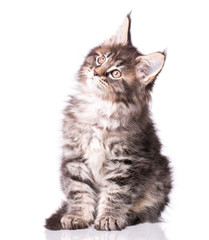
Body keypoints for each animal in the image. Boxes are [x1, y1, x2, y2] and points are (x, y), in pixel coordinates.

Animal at [45, 14, 171, 231]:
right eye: (101, 58)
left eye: (115, 74)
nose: (96, 71)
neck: (99, 107)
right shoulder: (76, 156)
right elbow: (79, 189)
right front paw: (78, 216)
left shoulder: (125, 162)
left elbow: (116, 194)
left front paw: (109, 218)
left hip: (161, 178)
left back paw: (131, 217)